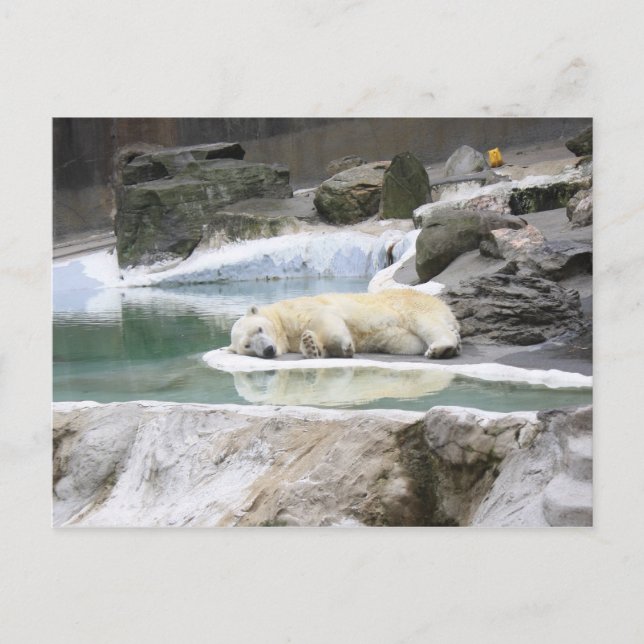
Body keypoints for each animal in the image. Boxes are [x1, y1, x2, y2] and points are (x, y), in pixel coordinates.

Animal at [227, 289, 461, 360]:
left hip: (408, 303)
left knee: (425, 322)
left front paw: (345, 346)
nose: (268, 349)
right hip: (401, 339)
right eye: (247, 346)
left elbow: (325, 318)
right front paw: (311, 346)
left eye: (259, 328)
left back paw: (440, 347)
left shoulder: (298, 310)